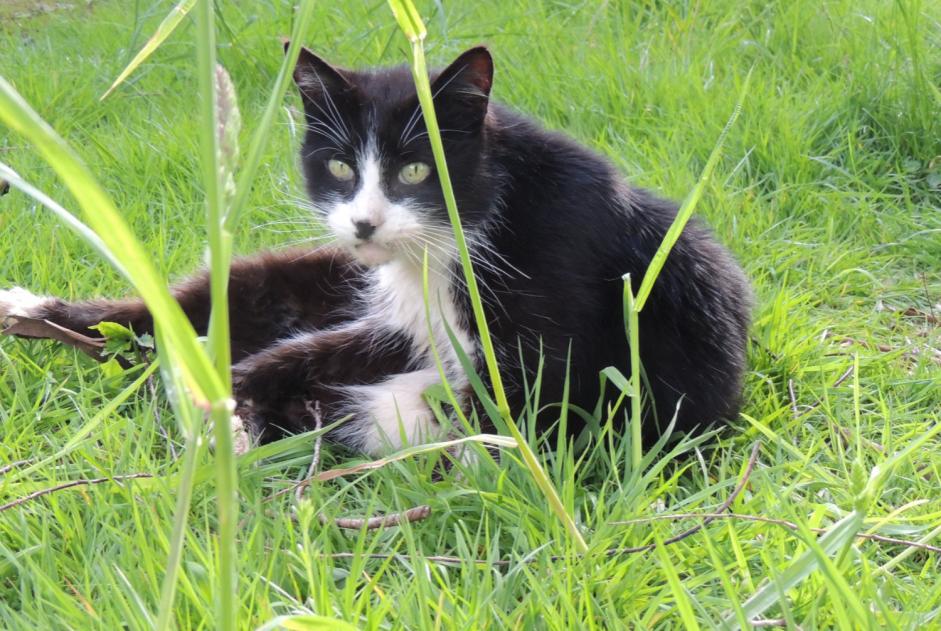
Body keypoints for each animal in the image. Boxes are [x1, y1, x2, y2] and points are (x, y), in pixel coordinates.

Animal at [0, 47, 748, 456]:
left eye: (415, 171)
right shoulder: (401, 317)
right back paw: (32, 311)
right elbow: (310, 353)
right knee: (178, 307)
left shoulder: (560, 348)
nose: (363, 222)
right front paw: (228, 408)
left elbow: (475, 418)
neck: (456, 240)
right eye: (337, 166)